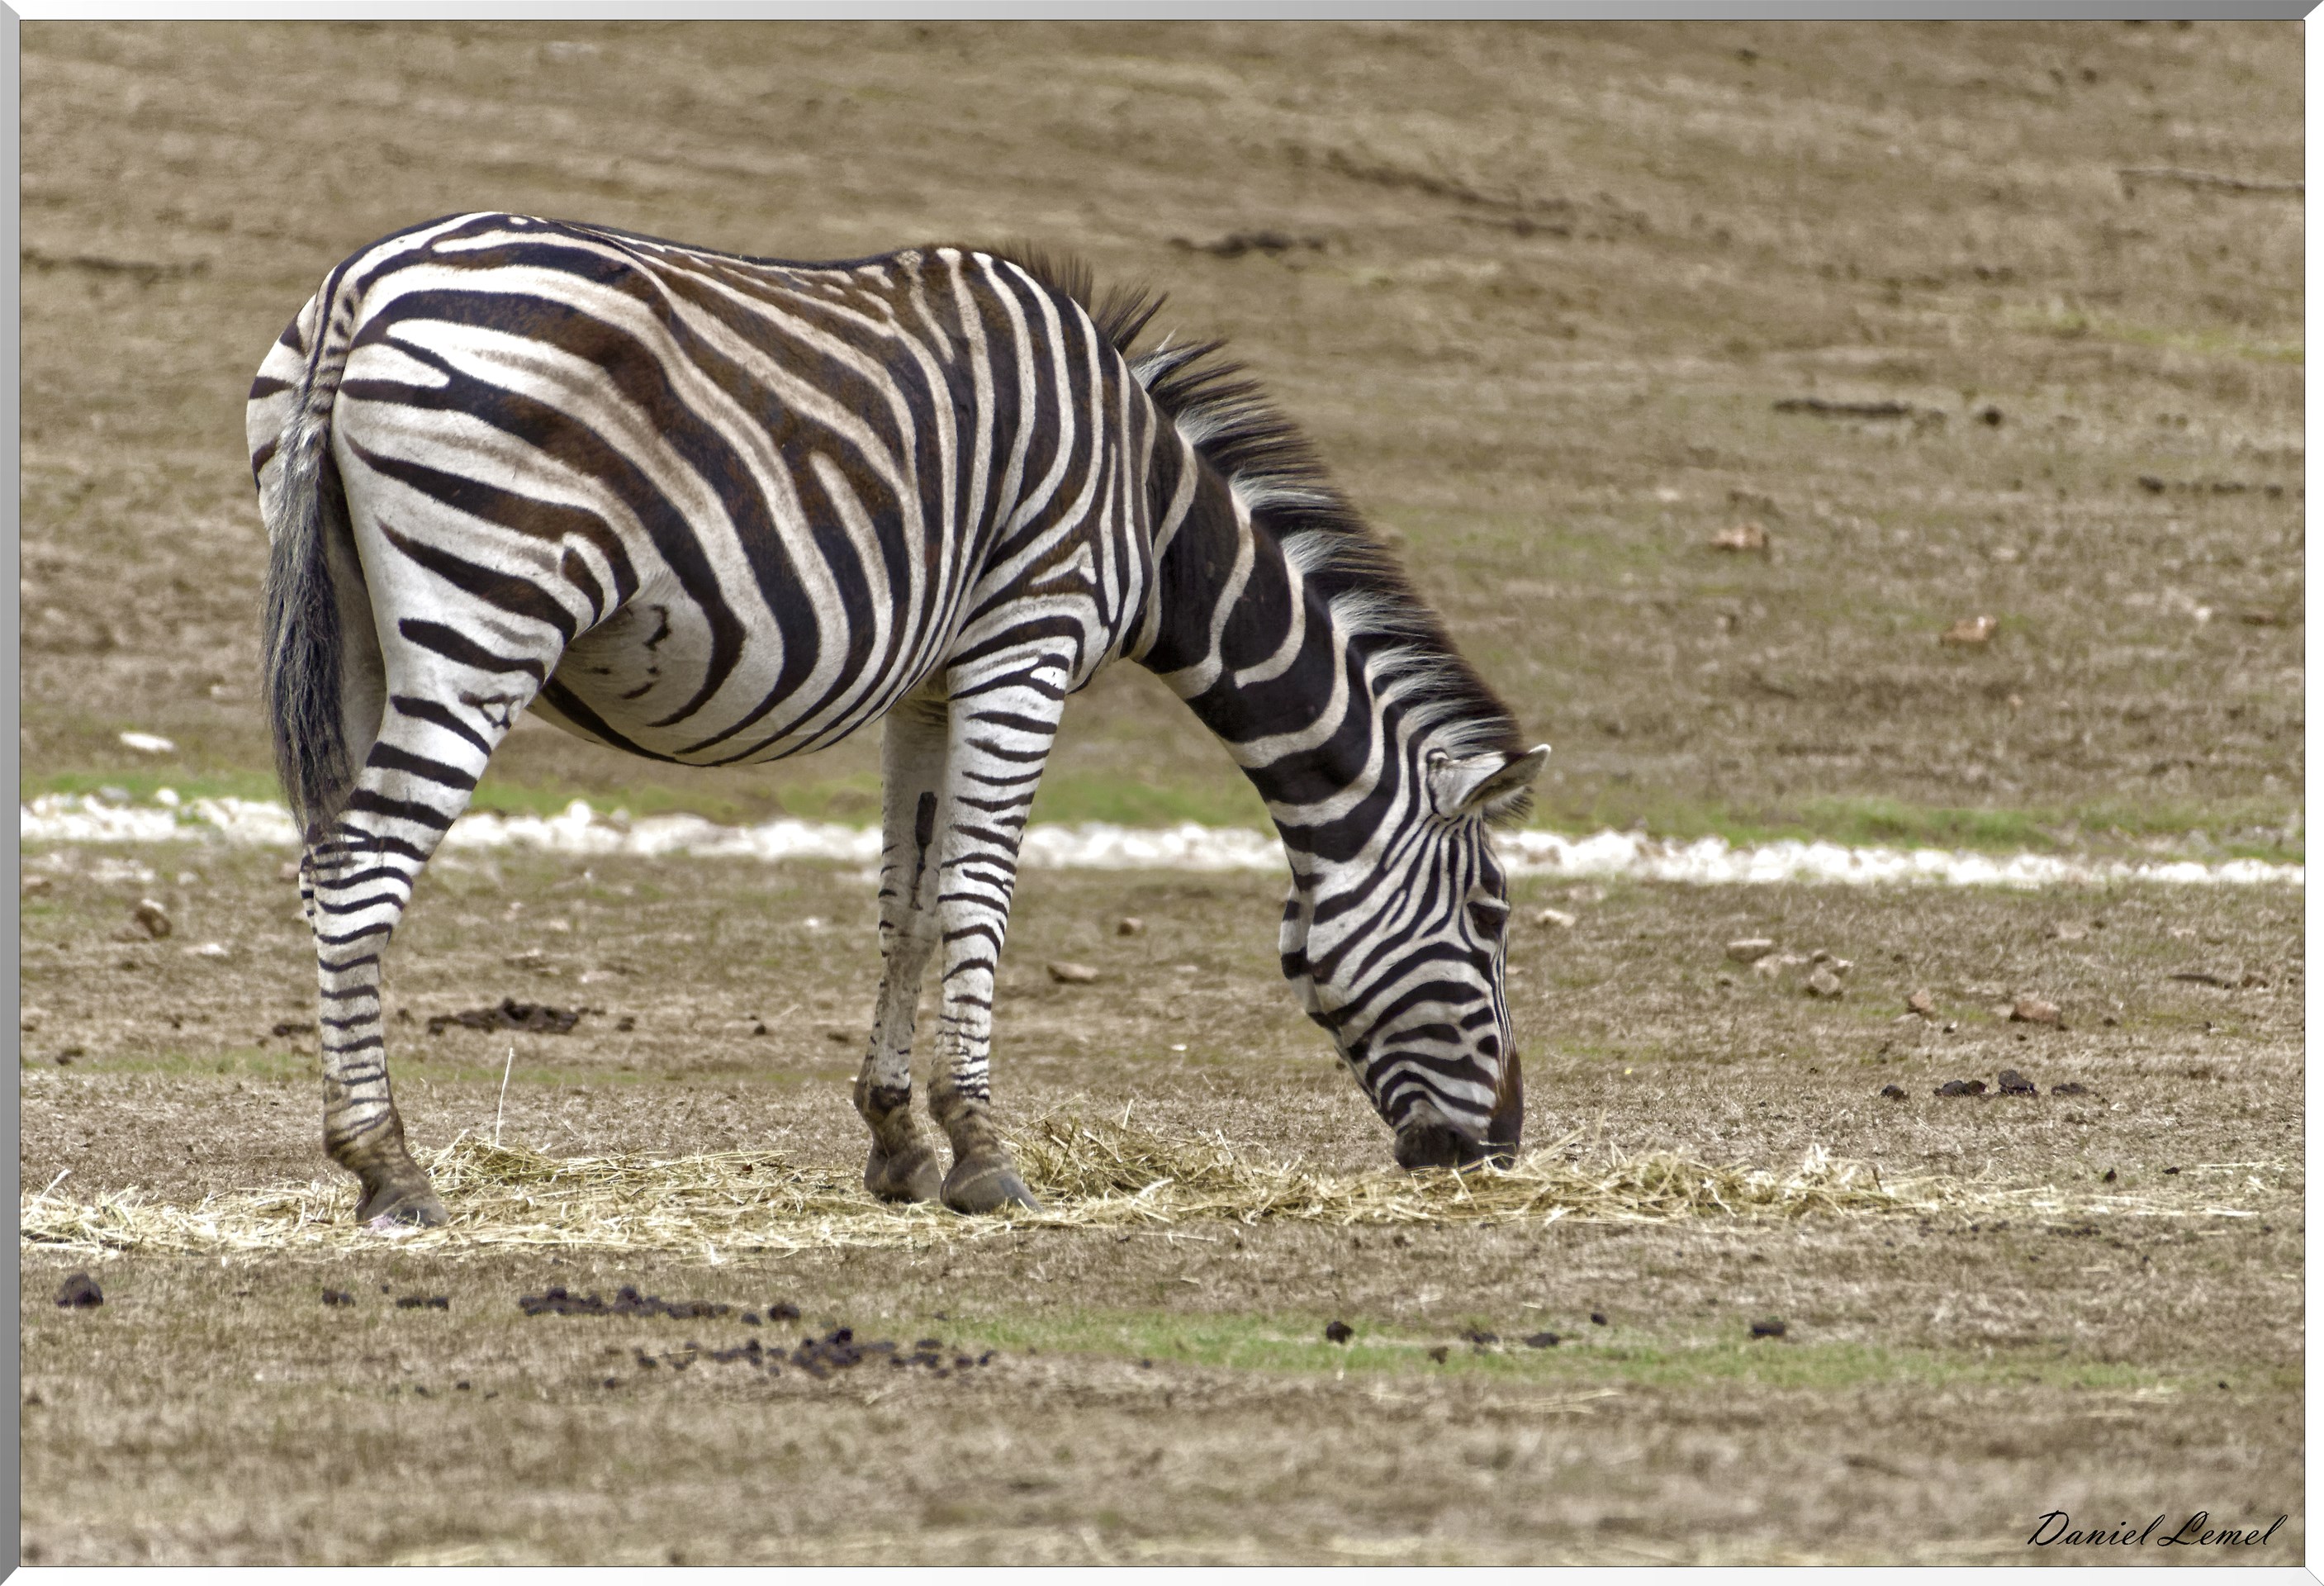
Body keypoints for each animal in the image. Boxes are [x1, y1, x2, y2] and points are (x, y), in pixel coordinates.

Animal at [247, 212, 1550, 1227]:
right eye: (1490, 917)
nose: (1499, 1147)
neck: (1151, 510)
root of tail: (363, 287)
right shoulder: (1028, 641)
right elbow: (980, 891)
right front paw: (982, 1154)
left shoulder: (932, 678)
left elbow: (909, 903)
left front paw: (898, 1143)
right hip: (487, 614)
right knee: (363, 867)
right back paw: (391, 1172)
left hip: (361, 627)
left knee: (322, 862)